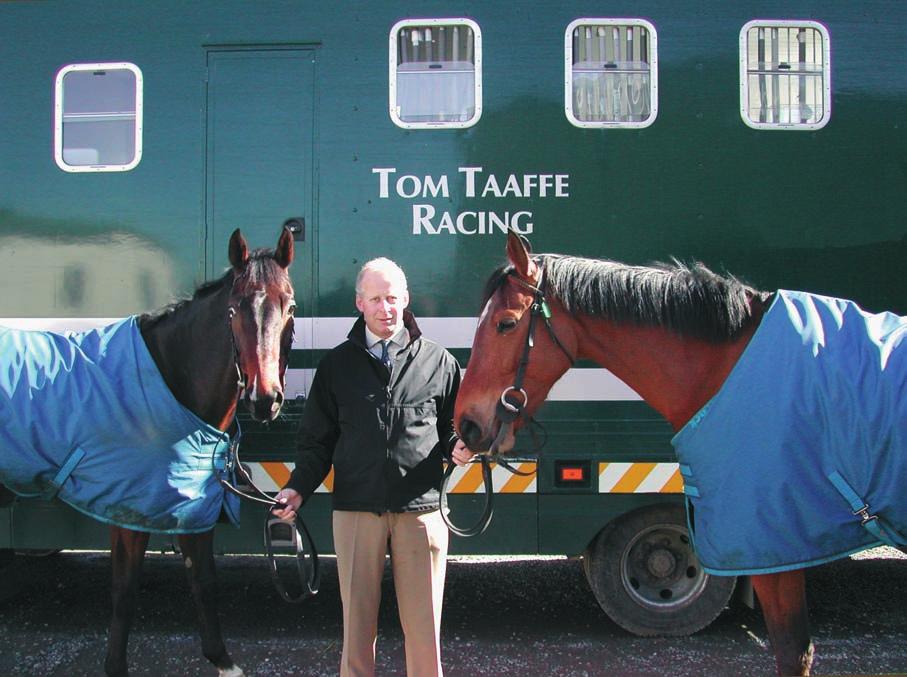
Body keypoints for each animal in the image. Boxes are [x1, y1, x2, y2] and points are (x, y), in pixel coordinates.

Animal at [0, 228, 294, 676]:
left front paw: (222, 660)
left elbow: (202, 580)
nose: (265, 399)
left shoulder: (190, 502)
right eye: (233, 309)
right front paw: (115, 666)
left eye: (289, 306)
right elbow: (124, 590)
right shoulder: (128, 507)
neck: (172, 378)